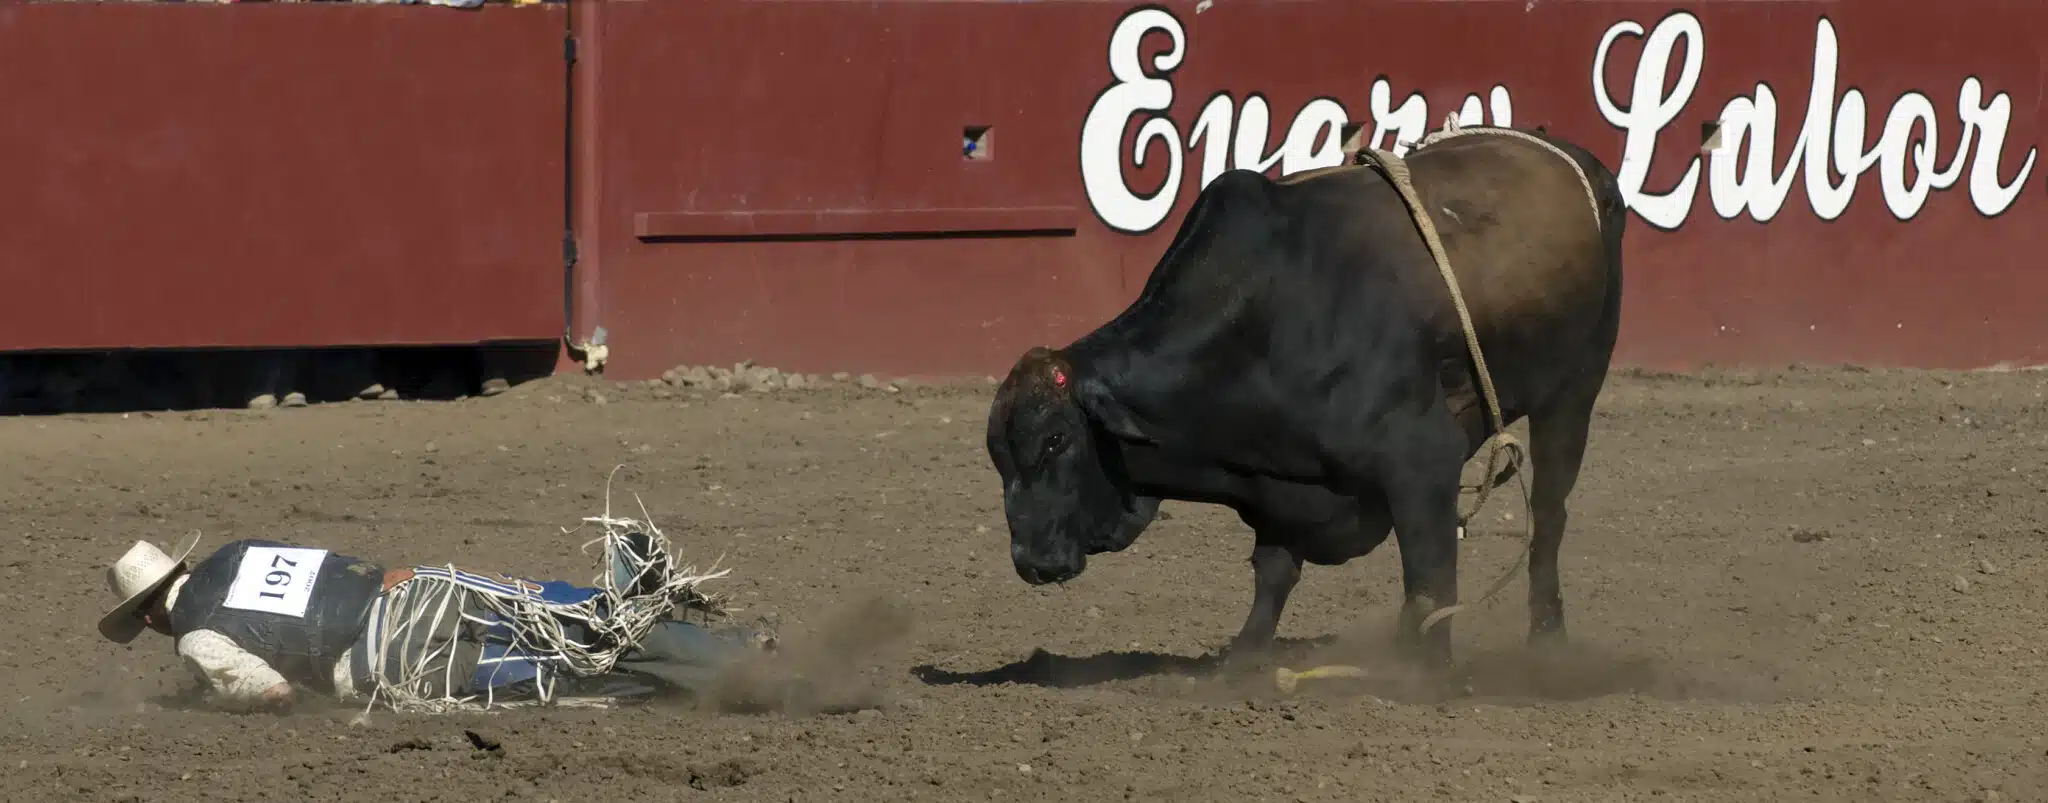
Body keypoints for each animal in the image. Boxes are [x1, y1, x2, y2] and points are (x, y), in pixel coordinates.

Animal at [984, 125, 1627, 683]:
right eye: (999, 456)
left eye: (1056, 439)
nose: (1030, 559)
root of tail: (1576, 158)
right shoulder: (1279, 487)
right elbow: (1273, 573)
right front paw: (1240, 663)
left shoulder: (1423, 461)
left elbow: (1430, 577)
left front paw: (1426, 674)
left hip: (1575, 388)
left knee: (1549, 515)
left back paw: (1547, 637)